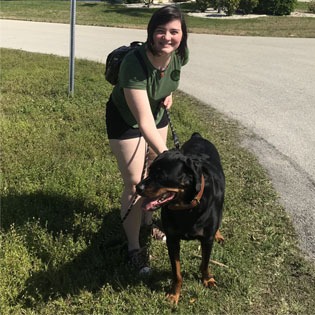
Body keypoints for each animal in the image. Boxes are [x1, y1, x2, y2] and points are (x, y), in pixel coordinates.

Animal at [136, 133, 225, 306]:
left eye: (161, 176)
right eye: (149, 170)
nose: (138, 187)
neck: (187, 208)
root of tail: (198, 136)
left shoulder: (207, 240)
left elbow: (205, 263)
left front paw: (207, 279)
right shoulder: (172, 240)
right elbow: (176, 272)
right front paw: (174, 294)